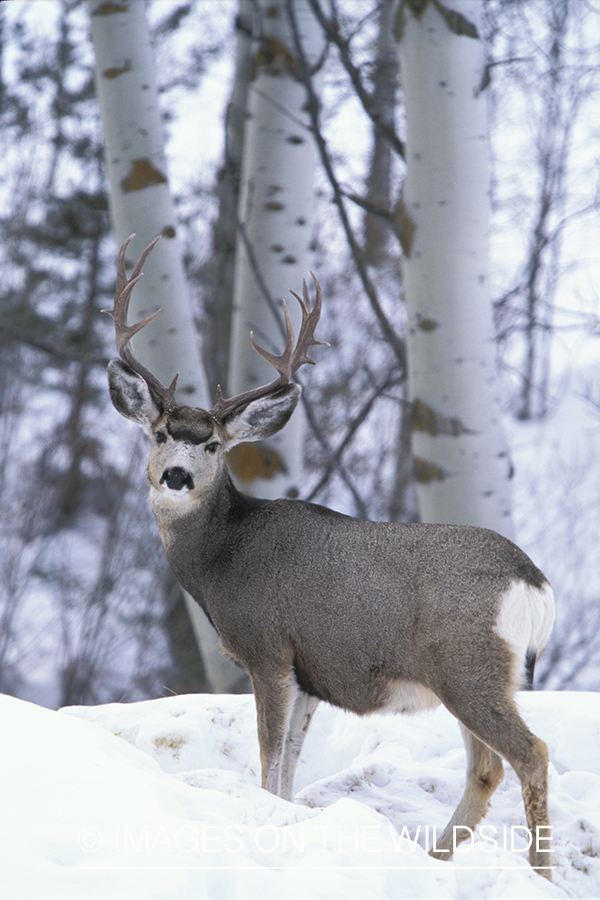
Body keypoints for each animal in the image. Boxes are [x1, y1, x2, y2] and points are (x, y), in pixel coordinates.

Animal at [105, 237, 556, 880]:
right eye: (161, 433)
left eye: (213, 444)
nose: (176, 476)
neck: (221, 560)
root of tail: (534, 582)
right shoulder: (310, 673)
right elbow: (289, 766)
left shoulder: (268, 649)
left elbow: (268, 760)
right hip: (478, 677)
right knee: (486, 768)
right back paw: (434, 858)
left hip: (469, 666)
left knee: (530, 754)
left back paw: (538, 874)